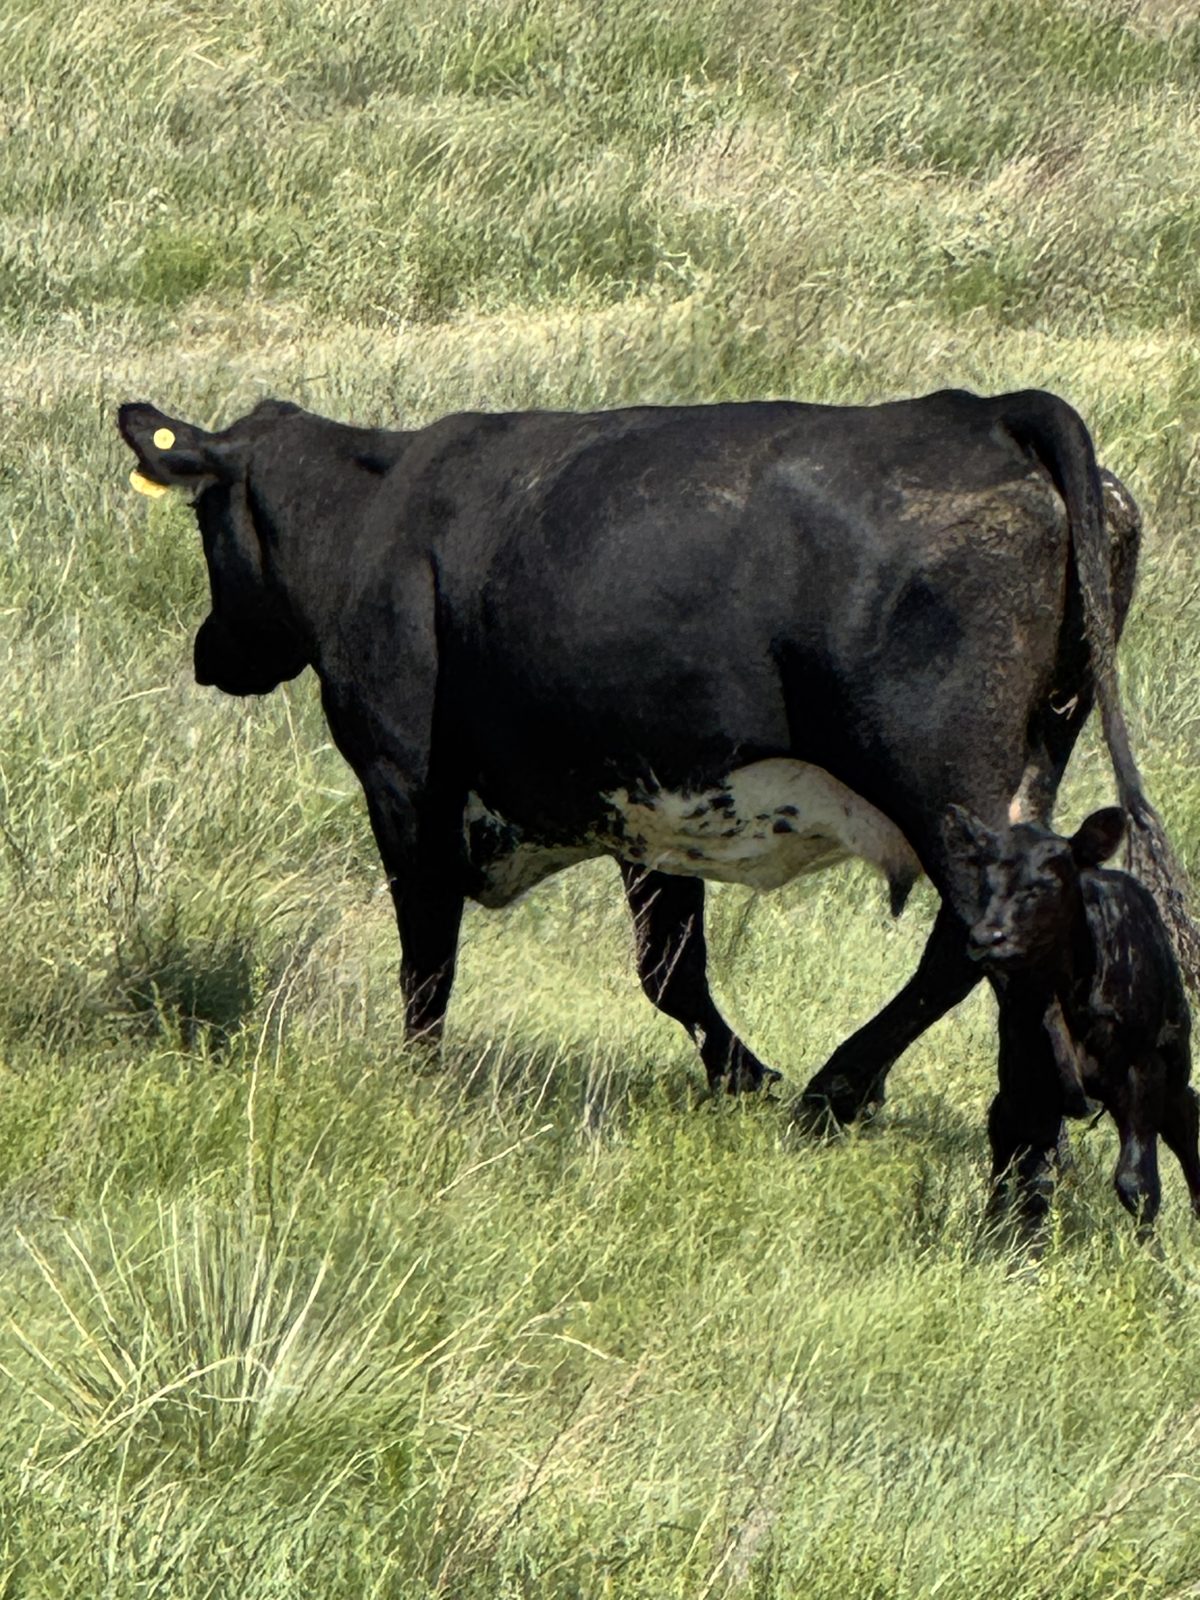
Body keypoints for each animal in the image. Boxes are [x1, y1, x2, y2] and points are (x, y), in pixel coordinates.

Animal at [943, 803, 1200, 1227]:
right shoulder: (1033, 1073)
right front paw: (1017, 1242)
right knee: (1004, 1135)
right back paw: (992, 1222)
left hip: (1172, 1061)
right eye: (983, 880)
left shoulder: (1143, 1067)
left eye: (1044, 884)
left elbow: (1137, 1181)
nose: (986, 937)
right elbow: (1033, 1176)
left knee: (1184, 1121)